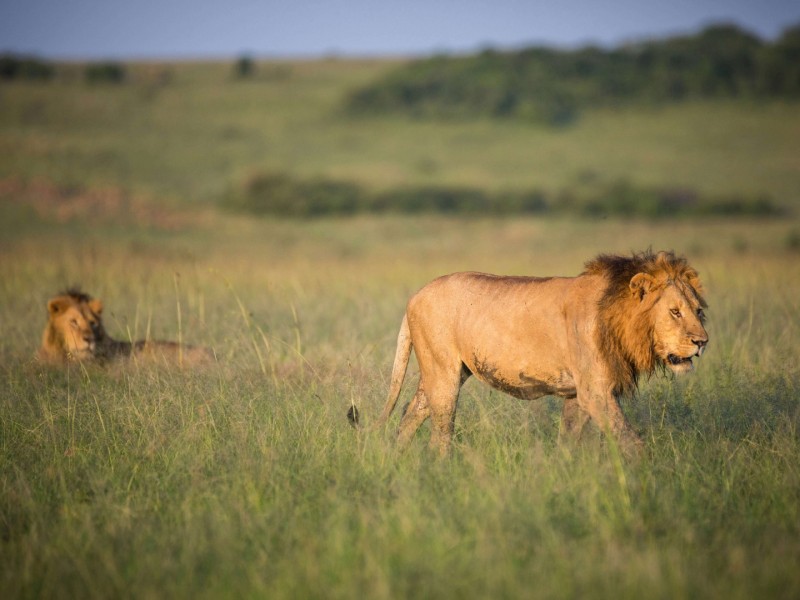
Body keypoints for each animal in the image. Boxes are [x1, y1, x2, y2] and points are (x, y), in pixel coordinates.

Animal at [362, 250, 708, 454]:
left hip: (446, 372)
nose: (702, 341)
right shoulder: (595, 391)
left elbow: (568, 440)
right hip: (443, 372)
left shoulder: (578, 393)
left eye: (698, 310)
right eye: (675, 312)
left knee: (411, 413)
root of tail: (416, 295)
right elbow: (630, 441)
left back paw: (400, 462)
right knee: (440, 433)